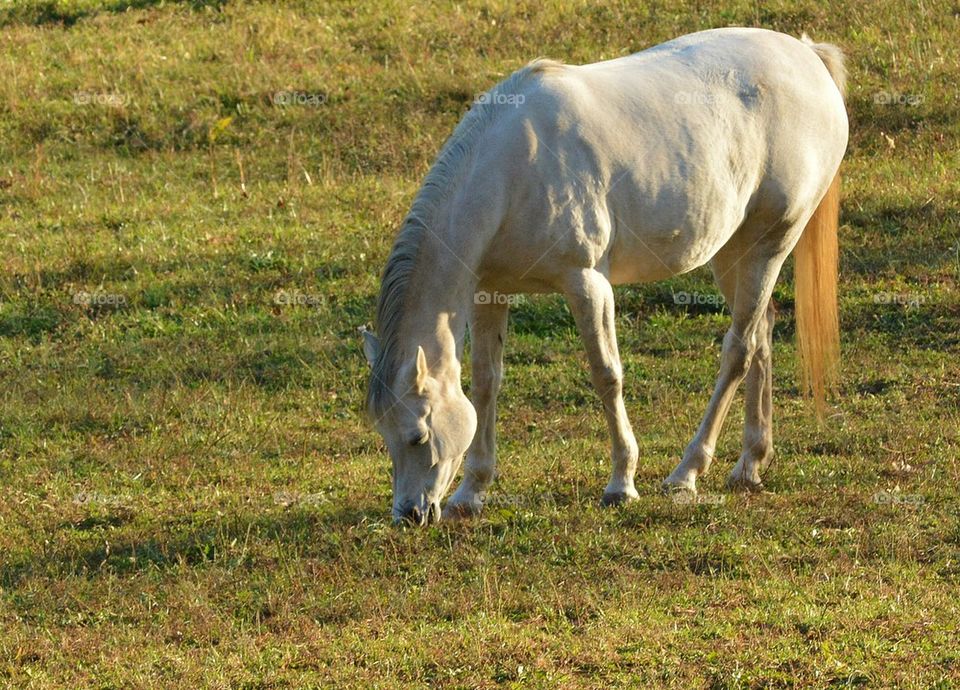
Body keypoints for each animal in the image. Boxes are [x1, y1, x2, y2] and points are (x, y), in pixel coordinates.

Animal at [362, 27, 848, 526]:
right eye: (384, 433)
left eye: (419, 436)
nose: (410, 514)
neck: (514, 169)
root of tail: (807, 55)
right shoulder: (490, 293)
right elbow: (484, 383)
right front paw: (471, 491)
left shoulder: (587, 285)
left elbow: (606, 375)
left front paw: (621, 484)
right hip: (733, 253)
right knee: (761, 334)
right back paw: (750, 464)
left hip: (769, 244)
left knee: (740, 349)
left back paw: (686, 473)